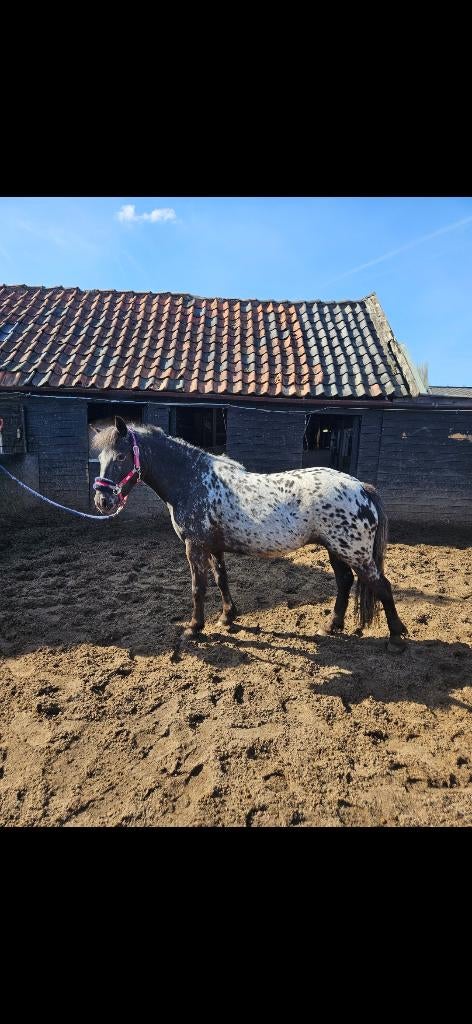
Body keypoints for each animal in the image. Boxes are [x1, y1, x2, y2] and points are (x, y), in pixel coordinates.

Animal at [93, 416, 408, 651]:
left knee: (382, 586)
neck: (191, 480)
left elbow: (198, 588)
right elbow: (221, 580)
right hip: (336, 549)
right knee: (344, 582)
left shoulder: (195, 546)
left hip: (355, 553)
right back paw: (332, 625)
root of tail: (361, 487)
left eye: (120, 456)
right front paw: (227, 617)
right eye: (99, 458)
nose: (102, 500)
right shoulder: (213, 547)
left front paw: (194, 629)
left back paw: (395, 638)